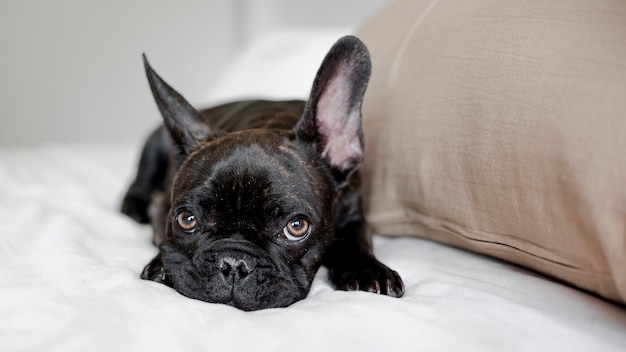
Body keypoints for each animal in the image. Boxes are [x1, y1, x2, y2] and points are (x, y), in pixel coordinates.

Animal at [120, 35, 404, 310]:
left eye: (297, 227)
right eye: (186, 219)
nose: (234, 263)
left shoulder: (354, 212)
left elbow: (354, 239)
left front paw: (368, 270)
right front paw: (161, 266)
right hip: (153, 144)